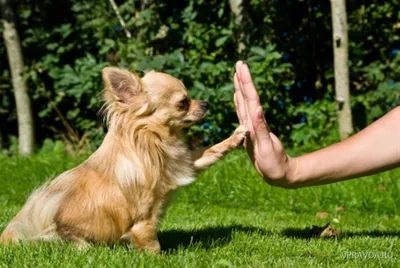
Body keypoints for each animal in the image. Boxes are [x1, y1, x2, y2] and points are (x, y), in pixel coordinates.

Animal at [0, 67, 247, 253]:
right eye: (183, 102)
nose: (205, 103)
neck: (154, 142)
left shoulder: (183, 164)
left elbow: (210, 152)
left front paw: (236, 137)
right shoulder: (144, 218)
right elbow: (150, 242)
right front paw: (158, 260)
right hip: (71, 240)